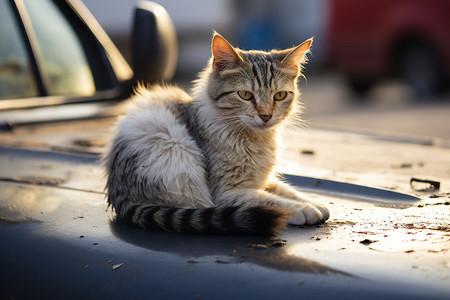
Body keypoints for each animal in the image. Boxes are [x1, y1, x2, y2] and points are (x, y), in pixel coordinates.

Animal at [104, 32, 330, 234]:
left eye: (280, 96)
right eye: (245, 95)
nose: (266, 116)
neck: (254, 139)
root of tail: (118, 192)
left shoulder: (260, 180)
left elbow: (288, 190)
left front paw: (313, 202)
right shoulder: (227, 192)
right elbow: (271, 199)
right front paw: (304, 209)